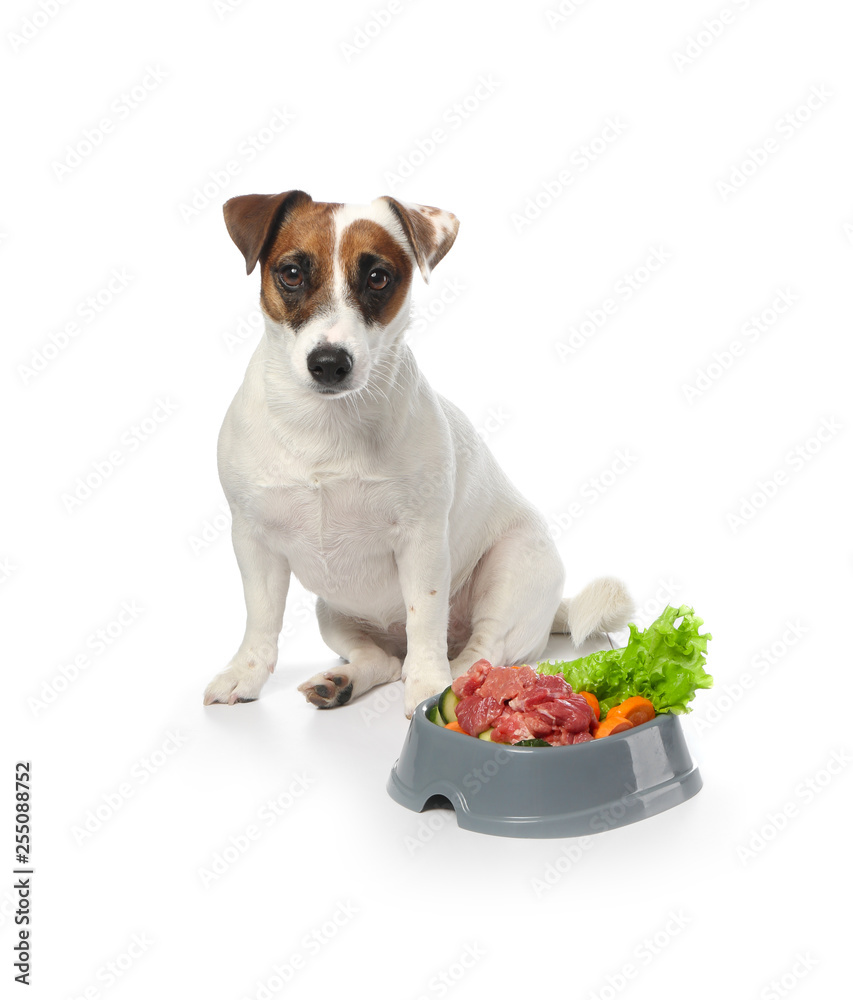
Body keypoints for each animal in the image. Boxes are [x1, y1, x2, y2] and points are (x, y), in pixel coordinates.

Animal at [201, 189, 632, 720]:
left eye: (378, 277)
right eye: (292, 272)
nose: (329, 363)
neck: (327, 423)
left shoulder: (422, 541)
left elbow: (425, 617)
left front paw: (427, 684)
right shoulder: (253, 541)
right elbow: (260, 620)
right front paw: (244, 674)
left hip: (511, 568)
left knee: (482, 649)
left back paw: (459, 683)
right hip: (334, 611)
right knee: (382, 660)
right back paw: (341, 681)